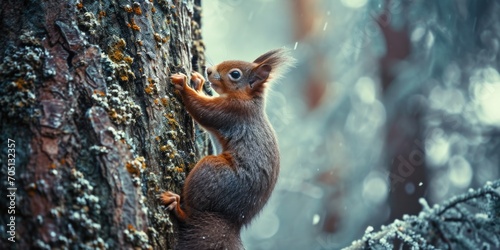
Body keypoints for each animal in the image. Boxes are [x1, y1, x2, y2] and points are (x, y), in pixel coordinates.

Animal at [160, 49, 292, 250]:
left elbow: (203, 110)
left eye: (235, 74)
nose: (208, 70)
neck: (249, 99)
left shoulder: (233, 111)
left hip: (211, 172)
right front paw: (197, 82)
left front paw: (184, 85)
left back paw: (176, 205)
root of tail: (234, 220)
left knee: (192, 214)